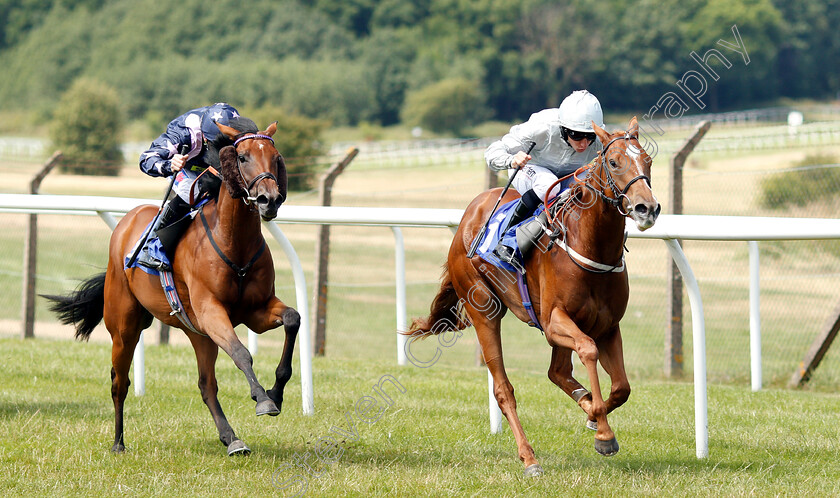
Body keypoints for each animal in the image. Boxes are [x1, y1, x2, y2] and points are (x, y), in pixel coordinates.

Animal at [43, 119, 298, 456]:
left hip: (198, 333)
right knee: (119, 383)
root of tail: (127, 221)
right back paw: (118, 442)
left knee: (206, 385)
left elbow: (292, 319)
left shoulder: (255, 310)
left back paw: (231, 438)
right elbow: (242, 353)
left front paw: (276, 392)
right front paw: (263, 399)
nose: (270, 199)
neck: (234, 242)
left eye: (275, 156)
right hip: (124, 328)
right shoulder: (212, 311)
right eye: (242, 157)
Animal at [410, 115, 660, 474]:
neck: (588, 244)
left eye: (648, 160)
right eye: (613, 162)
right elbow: (588, 350)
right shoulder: (555, 321)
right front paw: (603, 431)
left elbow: (622, 387)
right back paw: (528, 457)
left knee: (558, 372)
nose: (647, 208)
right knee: (504, 389)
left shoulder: (607, 326)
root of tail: (469, 216)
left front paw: (593, 414)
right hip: (483, 310)